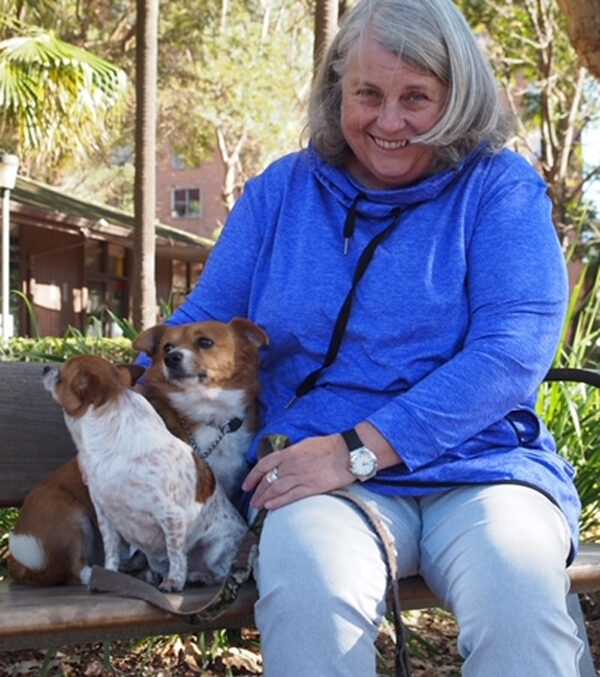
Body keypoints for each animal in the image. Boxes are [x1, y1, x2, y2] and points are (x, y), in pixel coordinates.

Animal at [10, 356, 245, 588]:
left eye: (60, 376)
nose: (45, 367)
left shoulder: (172, 517)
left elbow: (176, 555)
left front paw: (174, 582)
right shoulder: (105, 516)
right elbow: (112, 552)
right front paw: (110, 576)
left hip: (215, 548)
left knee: (218, 572)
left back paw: (198, 576)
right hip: (76, 515)